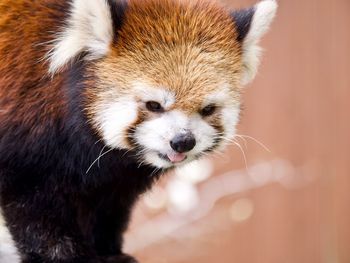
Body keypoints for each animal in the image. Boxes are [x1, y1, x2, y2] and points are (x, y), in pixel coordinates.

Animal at [0, 0, 276, 262]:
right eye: (154, 105)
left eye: (207, 109)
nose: (183, 141)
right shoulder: (26, 135)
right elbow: (36, 209)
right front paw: (69, 256)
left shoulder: (113, 180)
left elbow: (105, 209)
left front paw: (110, 253)